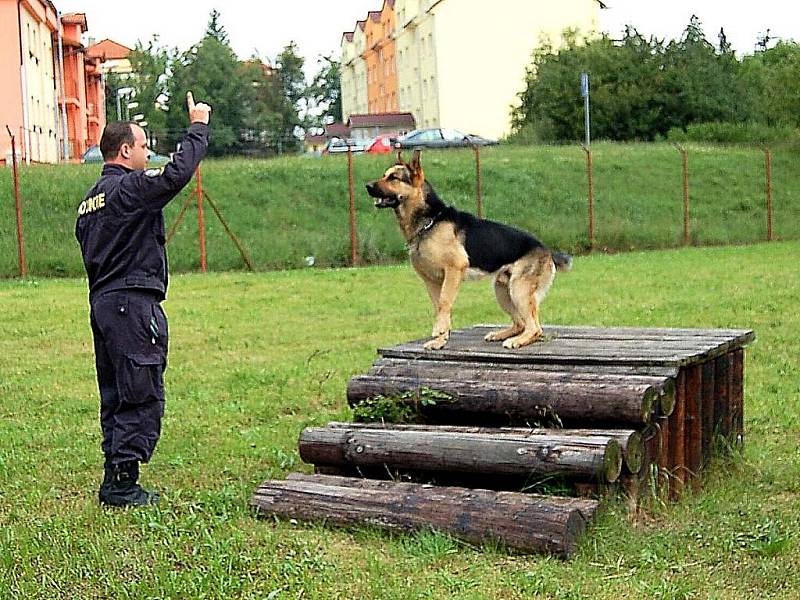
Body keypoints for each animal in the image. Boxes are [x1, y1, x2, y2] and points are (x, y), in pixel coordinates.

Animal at [366, 149, 572, 352]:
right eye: (385, 175)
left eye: (393, 178)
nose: (367, 186)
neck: (430, 221)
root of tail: (546, 249)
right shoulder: (431, 281)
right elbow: (440, 308)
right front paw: (440, 340)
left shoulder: (454, 269)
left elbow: (444, 302)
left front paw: (439, 331)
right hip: (502, 291)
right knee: (521, 323)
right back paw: (501, 334)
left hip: (518, 290)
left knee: (535, 327)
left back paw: (517, 341)